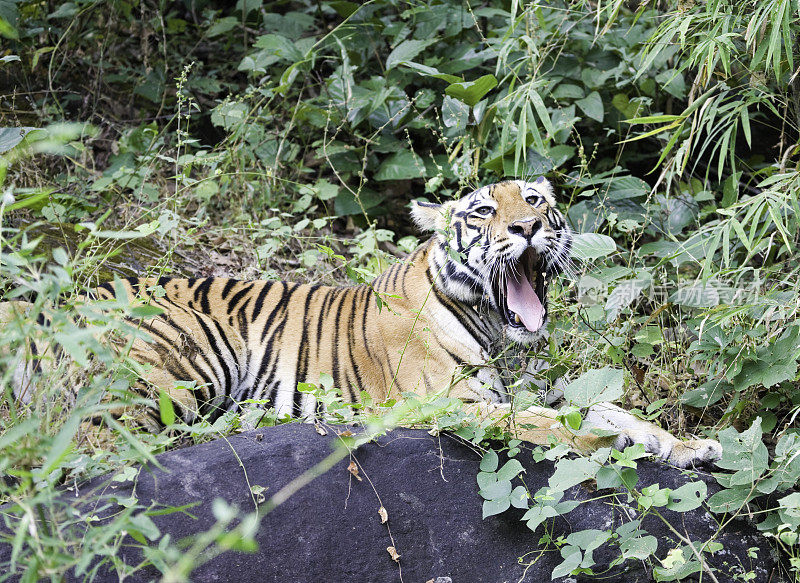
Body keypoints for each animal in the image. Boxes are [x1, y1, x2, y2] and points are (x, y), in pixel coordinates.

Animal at [0, 180, 720, 468]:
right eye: (484, 211)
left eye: (536, 198)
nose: (528, 227)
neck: (501, 334)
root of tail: (53, 303)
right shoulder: (450, 403)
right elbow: (550, 426)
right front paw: (610, 445)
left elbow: (613, 409)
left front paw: (688, 445)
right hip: (178, 354)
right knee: (91, 440)